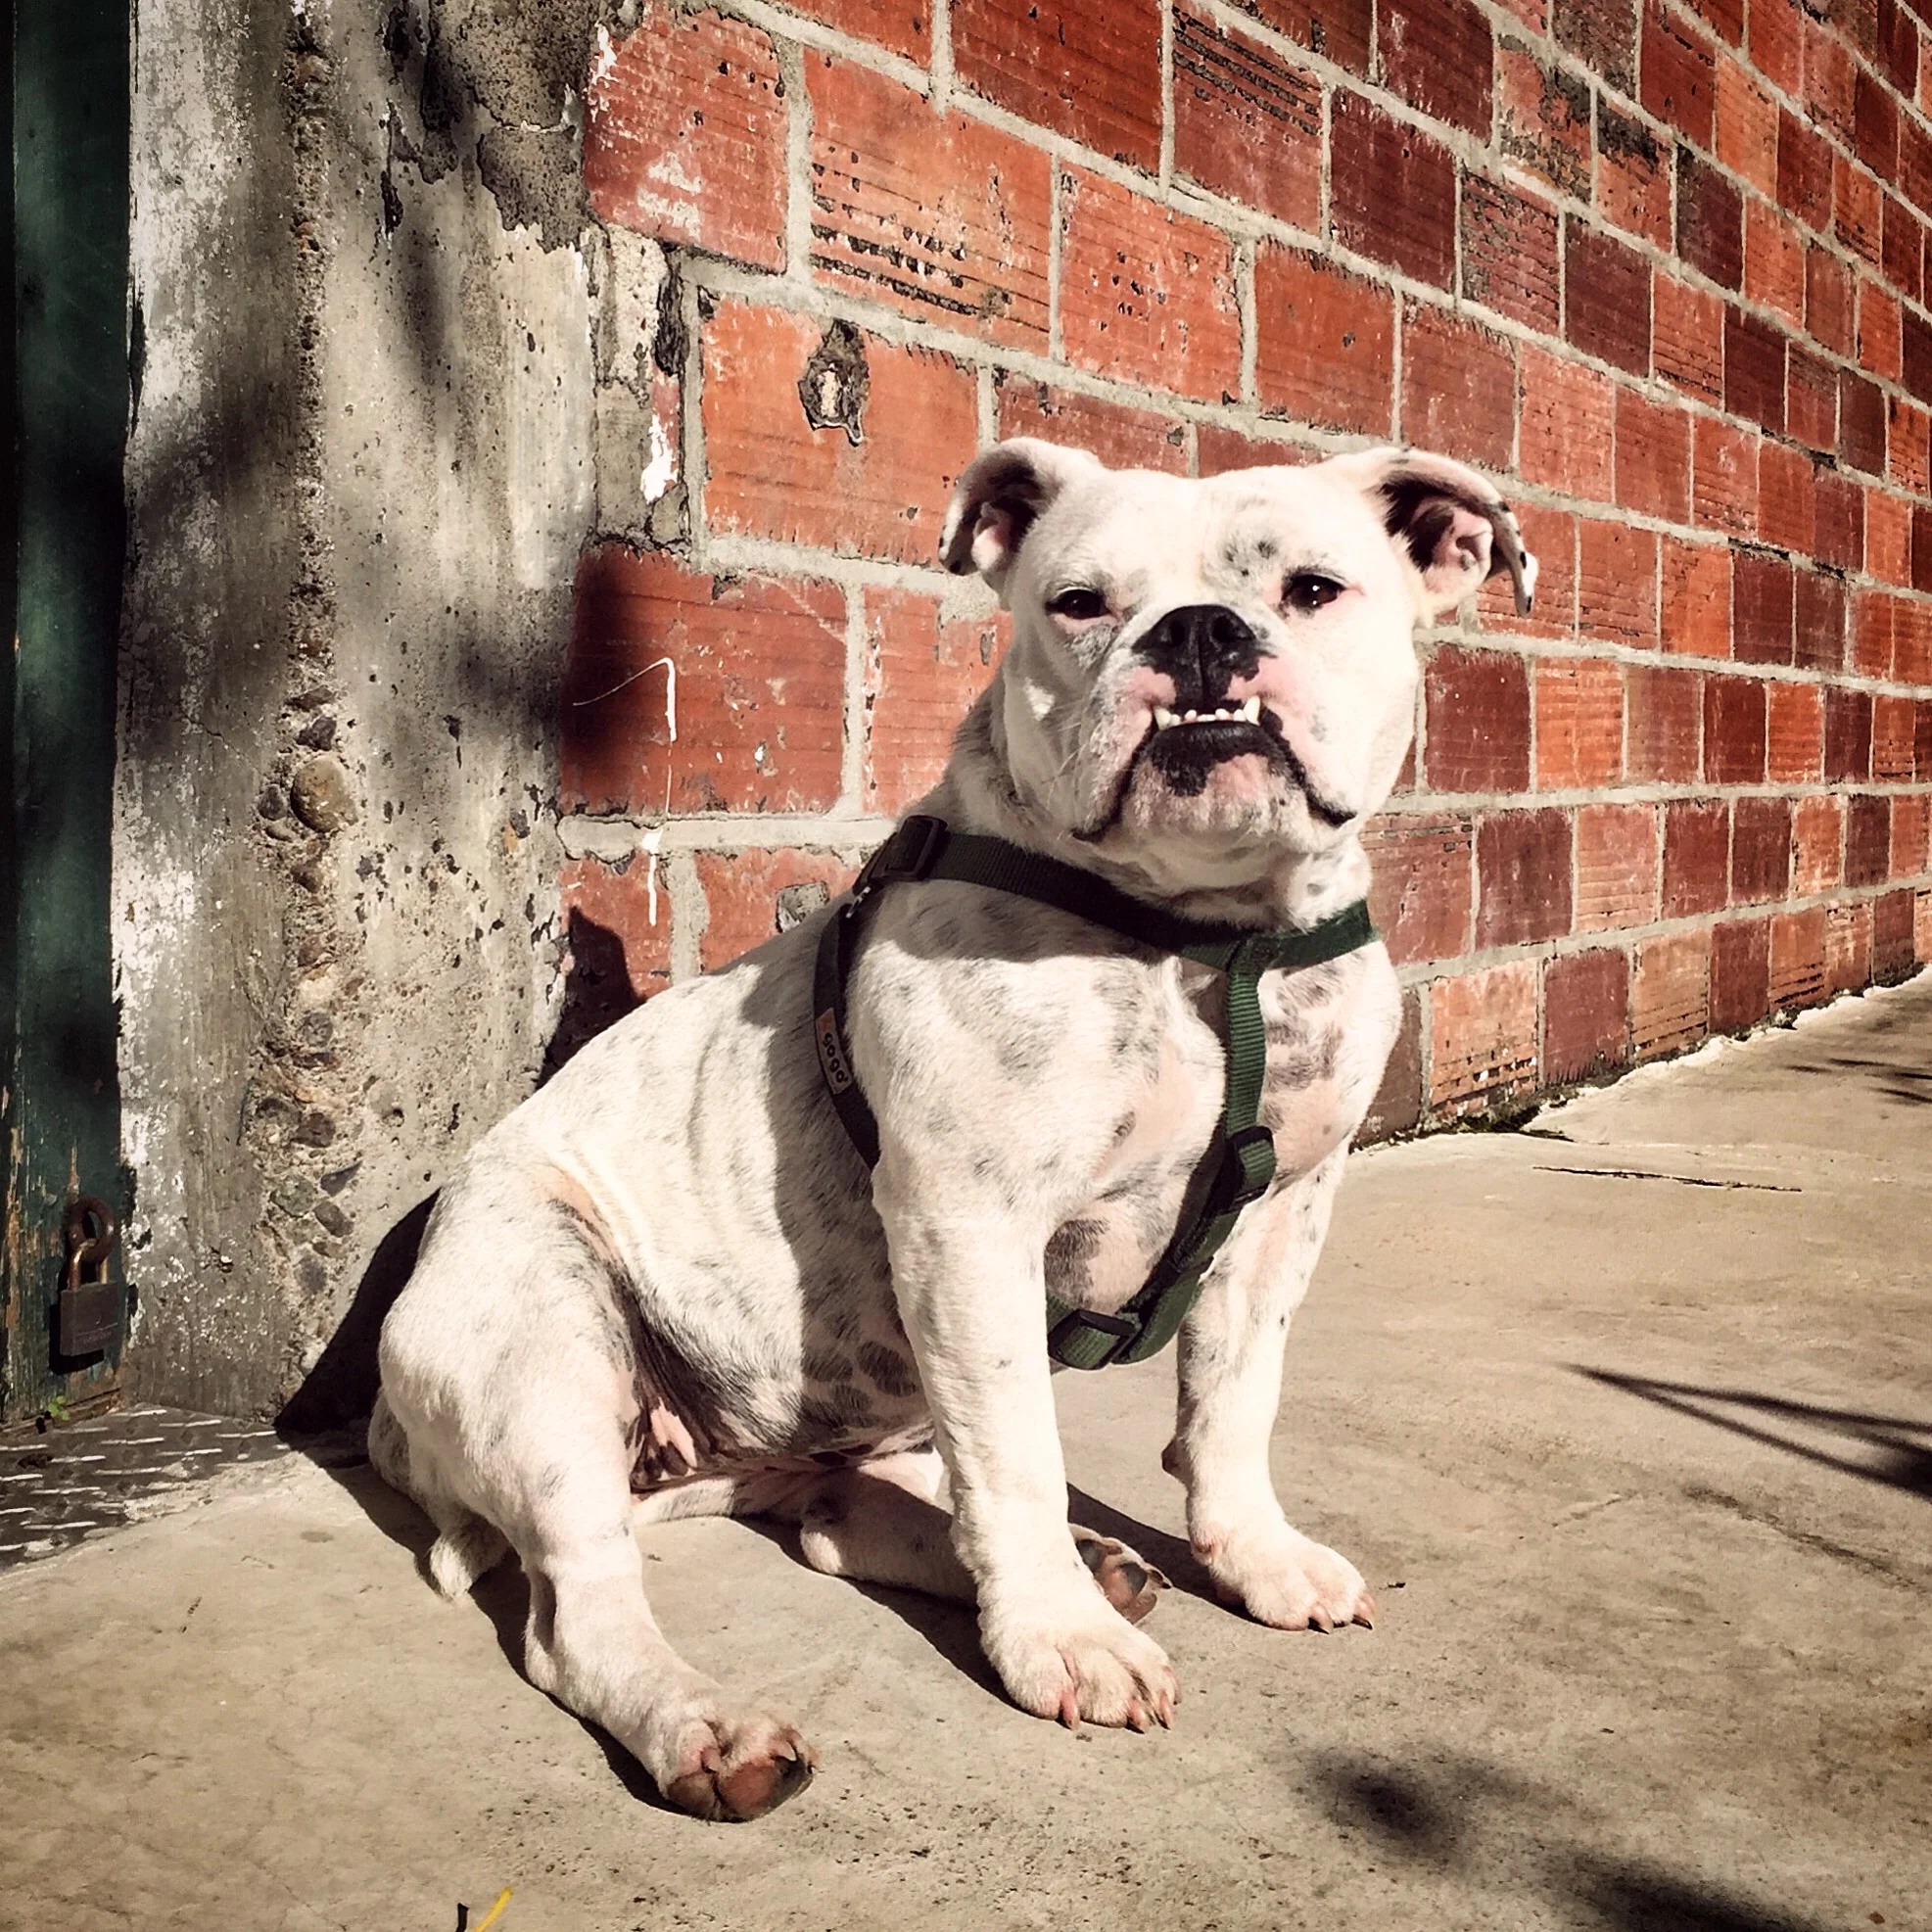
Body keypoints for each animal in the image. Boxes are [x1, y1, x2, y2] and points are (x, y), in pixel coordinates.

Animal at [369, 437, 1534, 1821]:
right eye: (1078, 602)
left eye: (1313, 588)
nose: (1198, 631)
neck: (1202, 931)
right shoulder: (970, 1228)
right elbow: (1019, 1452)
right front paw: (1061, 1638)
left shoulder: (1276, 1218)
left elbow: (1232, 1404)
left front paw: (1251, 1557)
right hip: (547, 1344)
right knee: (581, 1614)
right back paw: (712, 1726)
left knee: (836, 1514)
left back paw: (1074, 1558)